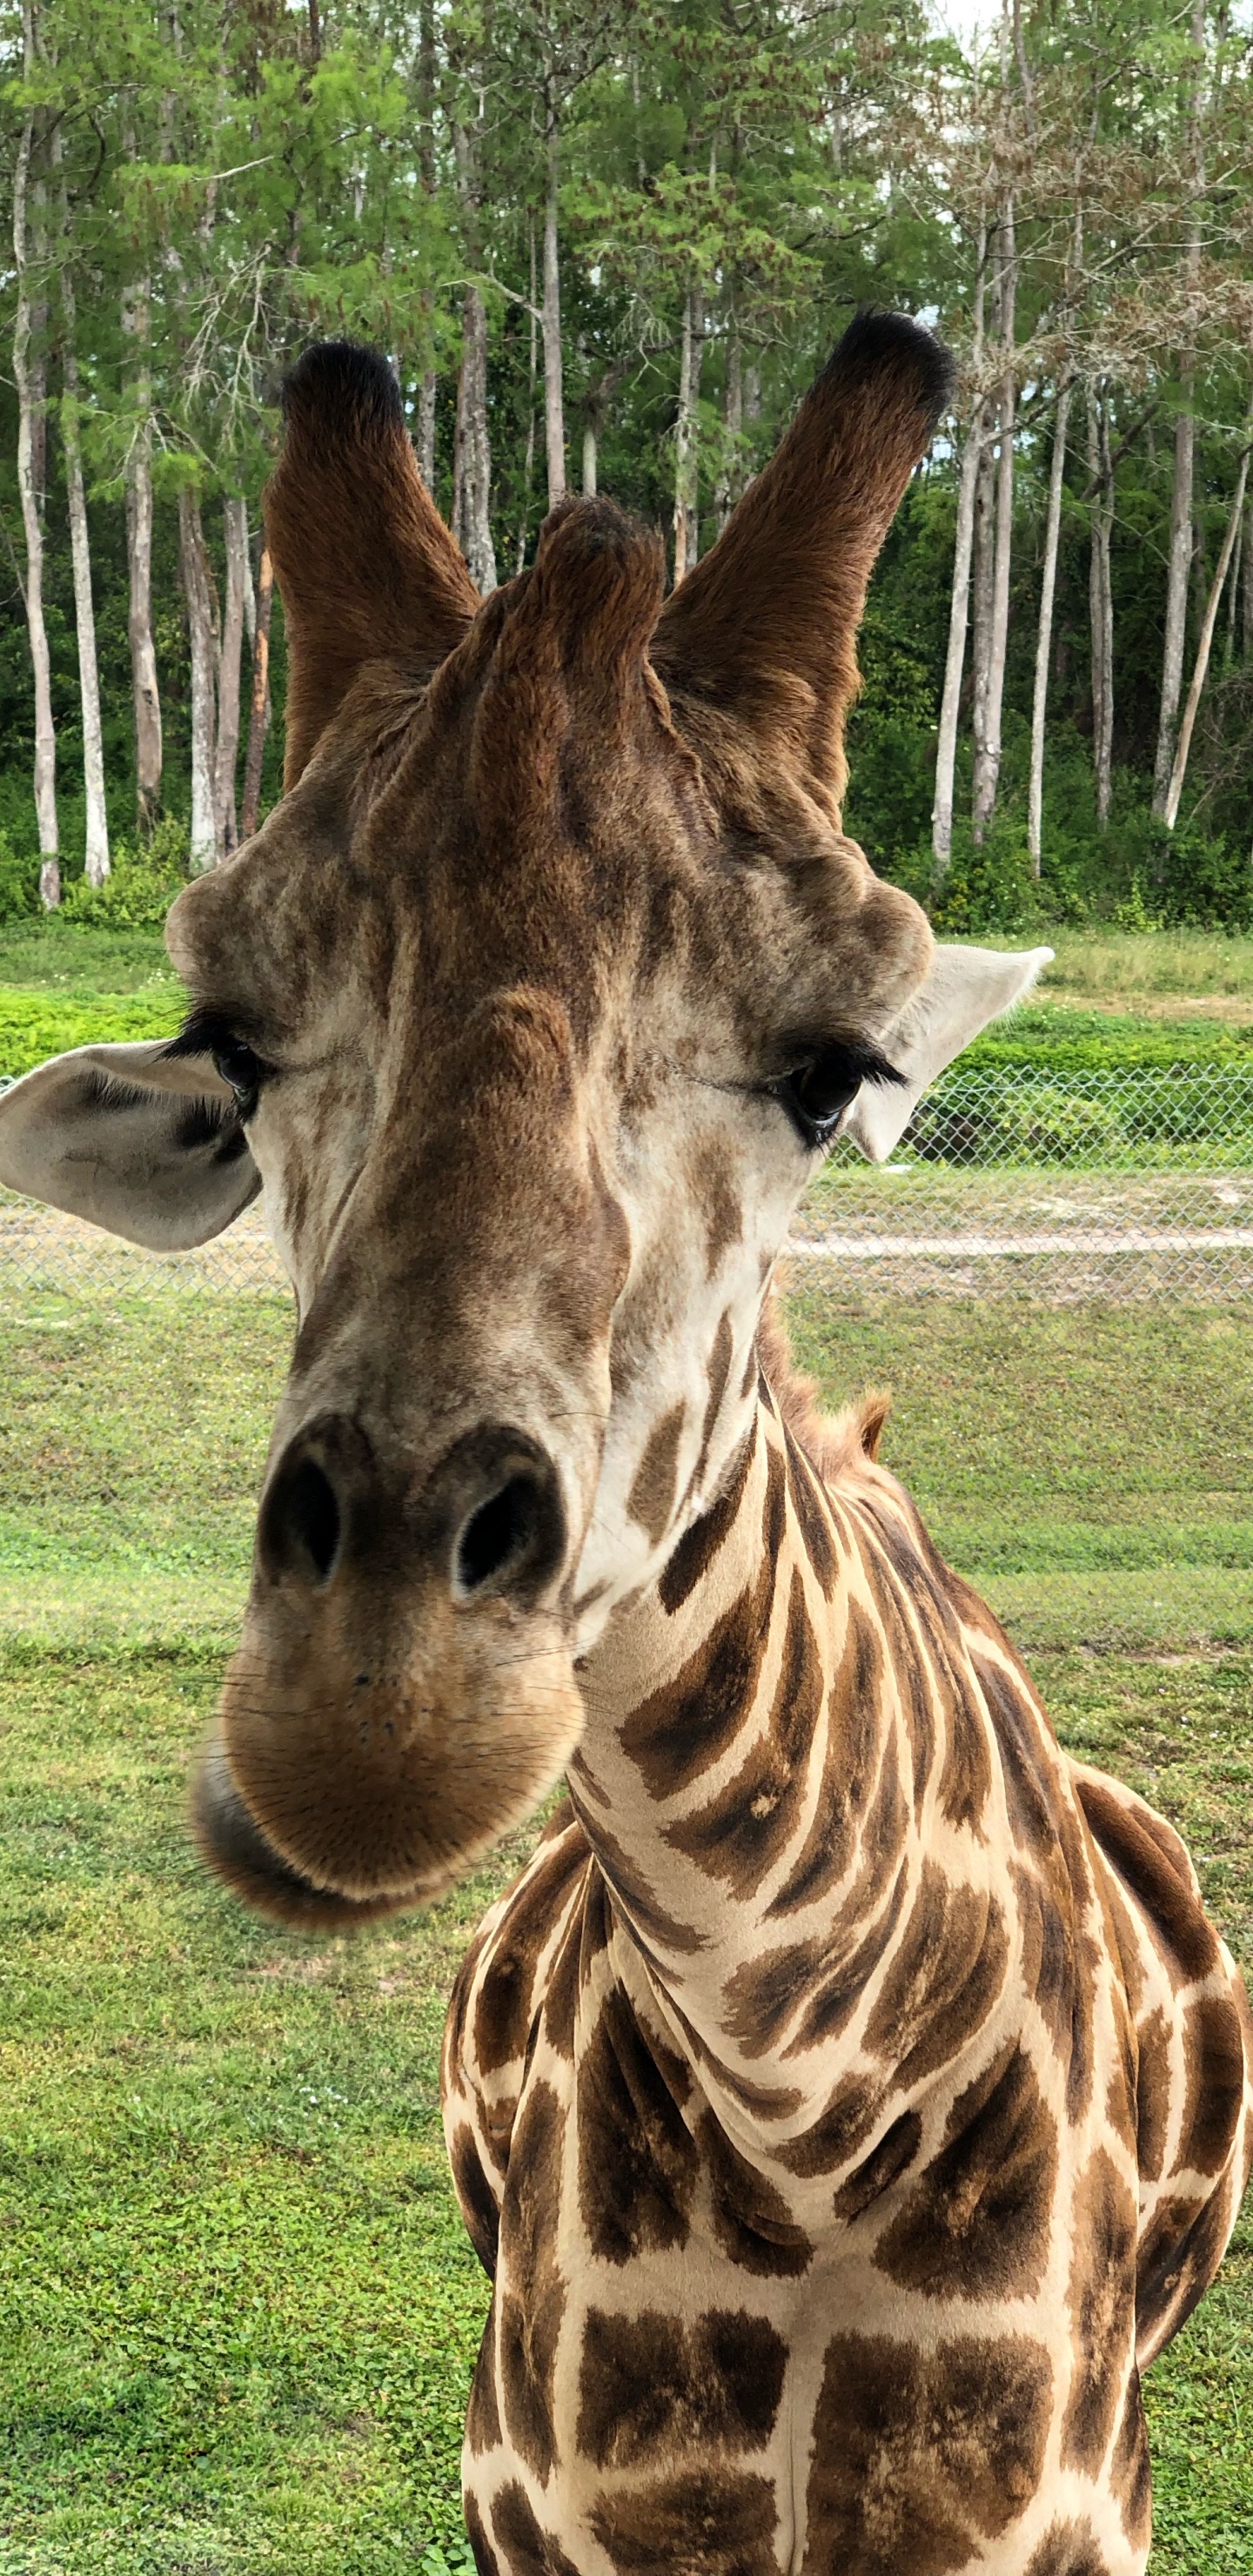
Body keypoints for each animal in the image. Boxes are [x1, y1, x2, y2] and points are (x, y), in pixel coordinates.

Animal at [1, 313, 1248, 2576]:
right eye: (237, 1046)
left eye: (833, 1070)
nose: (372, 1712)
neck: (806, 2108)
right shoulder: (531, 2493)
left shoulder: (1061, 2510)